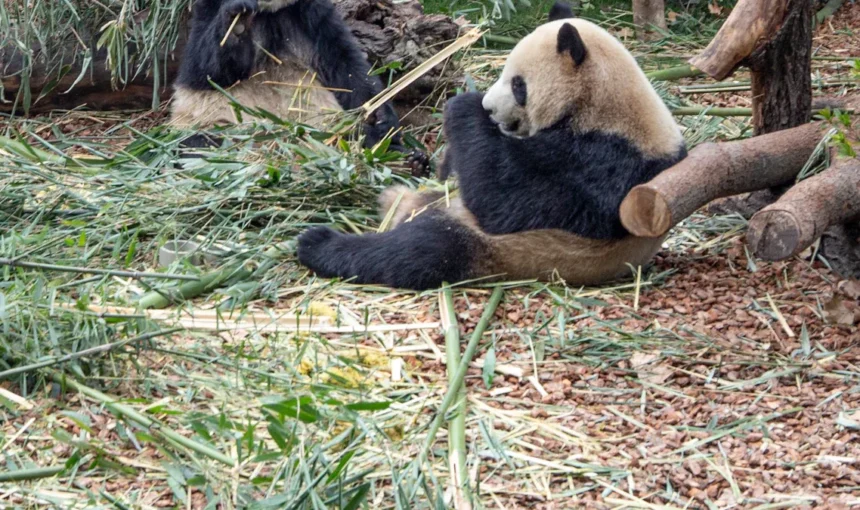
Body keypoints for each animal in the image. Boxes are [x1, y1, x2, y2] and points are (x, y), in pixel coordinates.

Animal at [170, 0, 428, 174]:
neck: (268, 12)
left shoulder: (313, 15)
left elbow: (347, 66)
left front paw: (379, 115)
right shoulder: (206, 11)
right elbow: (205, 69)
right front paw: (238, 22)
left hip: (327, 129)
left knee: (358, 137)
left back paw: (409, 160)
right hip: (217, 127)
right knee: (200, 145)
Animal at [294, 2, 687, 290]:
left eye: (518, 85)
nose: (489, 108)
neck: (605, 106)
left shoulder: (607, 165)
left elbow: (507, 200)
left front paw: (464, 106)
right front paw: (445, 154)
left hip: (501, 249)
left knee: (416, 252)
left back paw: (318, 242)